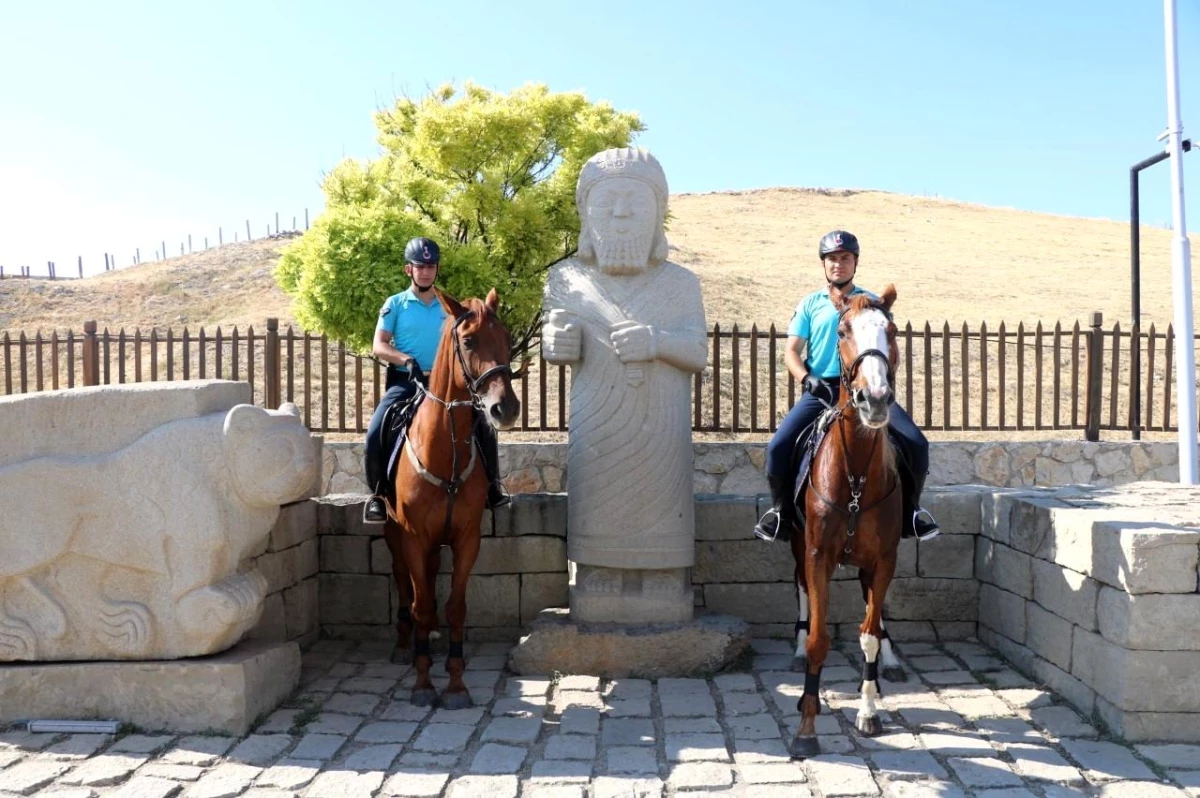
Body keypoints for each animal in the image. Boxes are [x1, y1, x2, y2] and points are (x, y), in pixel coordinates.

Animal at [381, 286, 518, 710]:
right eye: (469, 341)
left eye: (507, 338)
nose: (505, 408)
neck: (445, 447)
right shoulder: (412, 536)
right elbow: (421, 603)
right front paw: (423, 682)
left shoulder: (466, 538)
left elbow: (455, 606)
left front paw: (455, 683)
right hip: (392, 532)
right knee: (403, 580)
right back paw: (404, 644)